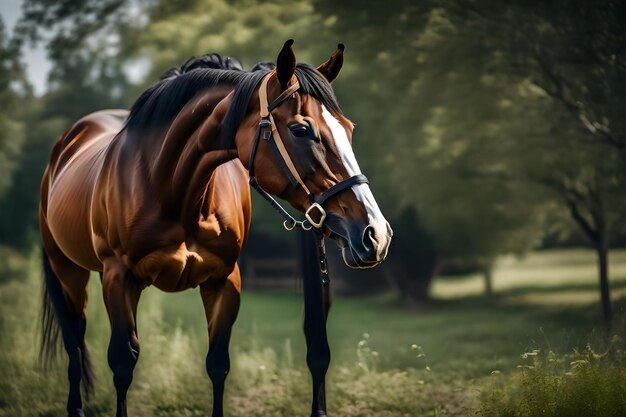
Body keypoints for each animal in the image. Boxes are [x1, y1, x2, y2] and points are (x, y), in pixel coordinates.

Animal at [39, 39, 390, 416]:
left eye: (348, 128)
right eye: (301, 129)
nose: (376, 233)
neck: (172, 190)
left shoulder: (224, 280)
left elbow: (218, 363)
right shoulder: (120, 277)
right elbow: (122, 364)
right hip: (68, 272)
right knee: (74, 342)